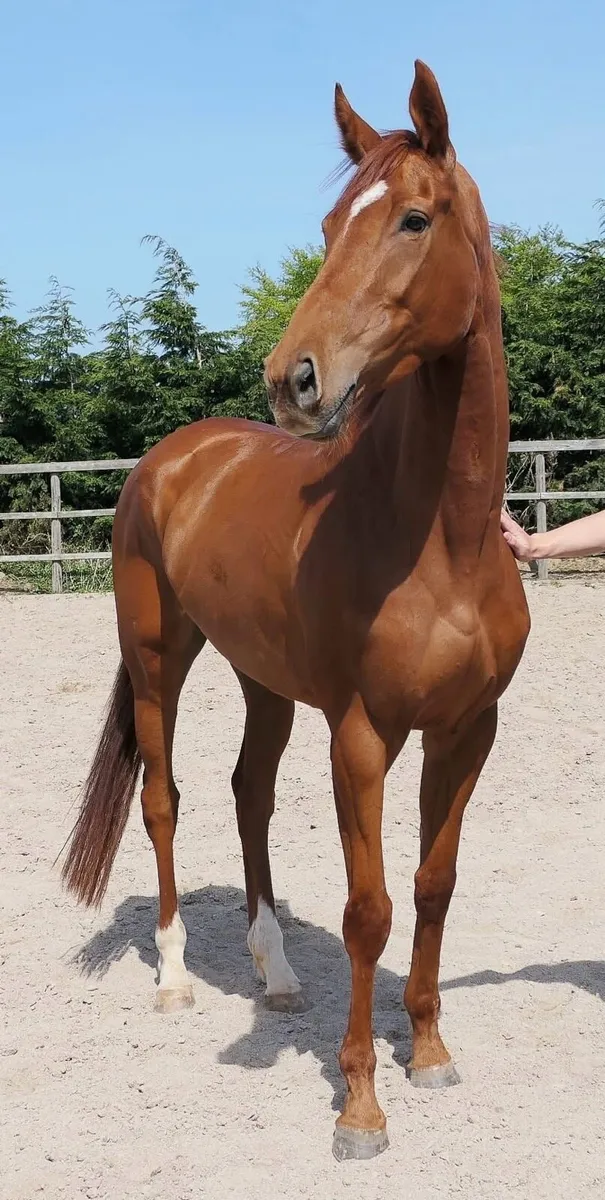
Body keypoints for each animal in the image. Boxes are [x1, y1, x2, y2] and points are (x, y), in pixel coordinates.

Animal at [62, 60, 530, 1160]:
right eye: (325, 227)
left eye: (412, 218)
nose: (293, 378)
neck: (439, 545)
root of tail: (171, 458)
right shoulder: (360, 734)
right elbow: (367, 909)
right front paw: (359, 1105)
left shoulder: (467, 731)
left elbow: (432, 886)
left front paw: (429, 1051)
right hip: (159, 656)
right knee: (164, 798)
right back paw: (177, 978)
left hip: (262, 680)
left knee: (248, 793)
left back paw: (272, 974)